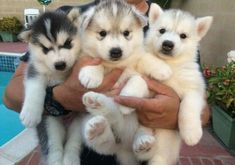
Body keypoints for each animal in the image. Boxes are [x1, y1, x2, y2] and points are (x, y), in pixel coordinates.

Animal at [18, 10, 81, 165]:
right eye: (45, 49)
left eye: (68, 43)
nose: (60, 64)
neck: (60, 74)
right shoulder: (35, 70)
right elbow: (34, 89)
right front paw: (30, 113)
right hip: (48, 122)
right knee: (53, 146)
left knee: (75, 140)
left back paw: (70, 158)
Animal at [76, 0, 172, 165]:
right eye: (102, 33)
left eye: (126, 33)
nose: (116, 51)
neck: (116, 65)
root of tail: (125, 146)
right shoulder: (85, 55)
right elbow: (94, 60)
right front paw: (91, 73)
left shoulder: (141, 71)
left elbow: (140, 71)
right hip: (87, 121)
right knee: (105, 142)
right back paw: (97, 119)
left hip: (145, 125)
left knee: (143, 147)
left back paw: (143, 142)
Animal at [132, 3, 213, 165]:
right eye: (162, 30)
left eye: (183, 36)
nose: (168, 44)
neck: (172, 64)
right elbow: (145, 58)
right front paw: (160, 69)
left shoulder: (195, 89)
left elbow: (188, 106)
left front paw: (191, 133)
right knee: (141, 132)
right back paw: (142, 141)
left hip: (164, 152)